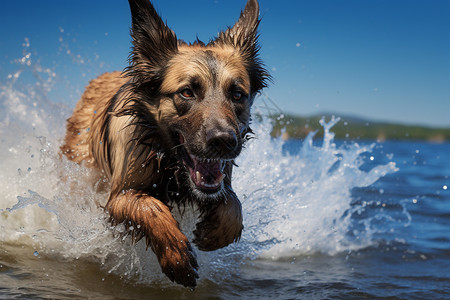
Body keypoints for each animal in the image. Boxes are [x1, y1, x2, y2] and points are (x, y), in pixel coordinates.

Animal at [61, 0, 268, 288]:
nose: (224, 141)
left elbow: (233, 205)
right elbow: (150, 207)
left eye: (237, 94)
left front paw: (215, 233)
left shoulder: (221, 180)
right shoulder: (118, 197)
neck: (171, 165)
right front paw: (176, 256)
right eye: (187, 92)